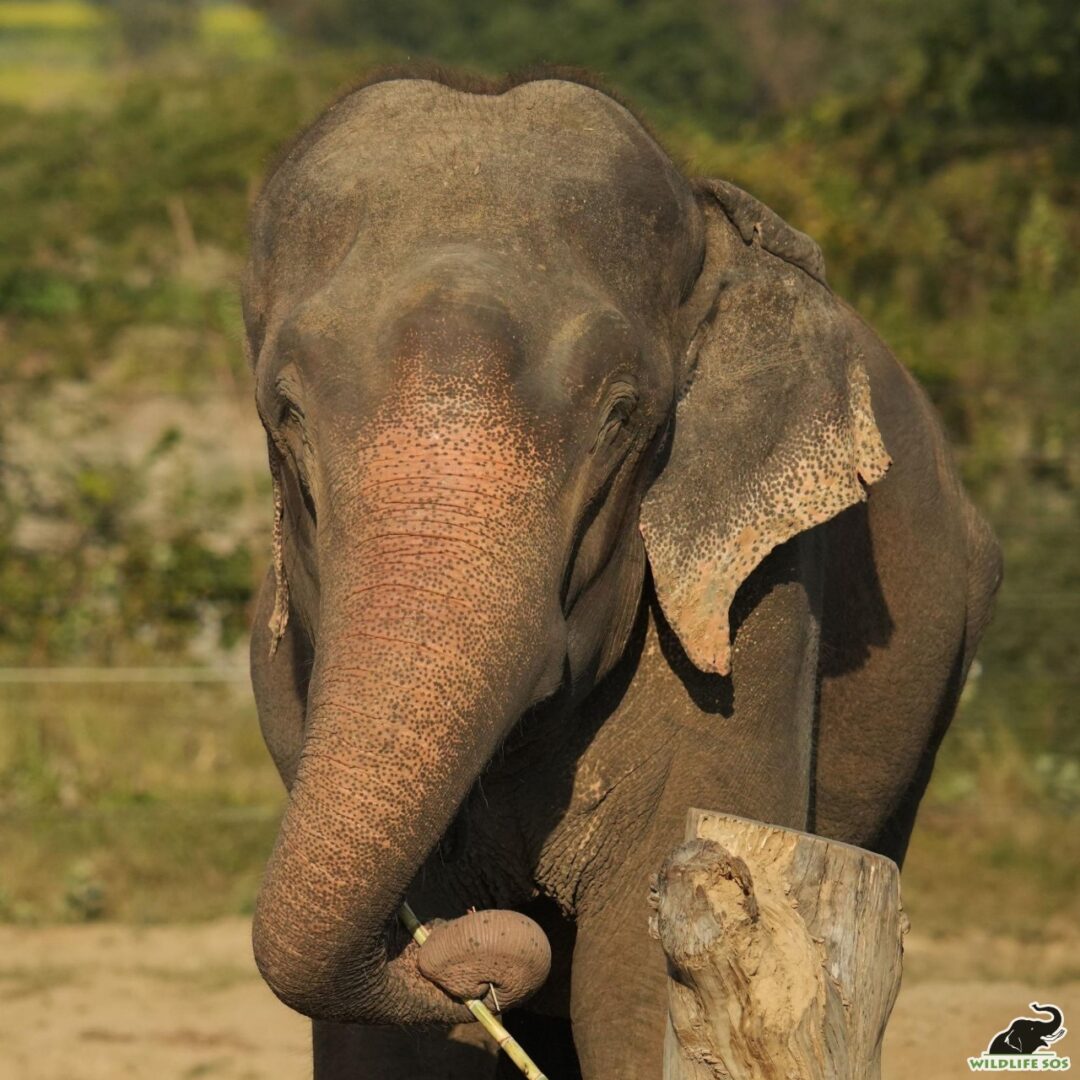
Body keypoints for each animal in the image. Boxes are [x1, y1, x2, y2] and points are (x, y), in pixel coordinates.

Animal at [240, 69, 997, 1080]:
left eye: (622, 415)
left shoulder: (756, 597)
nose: (482, 963)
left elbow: (632, 989)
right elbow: (389, 1049)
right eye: (286, 411)